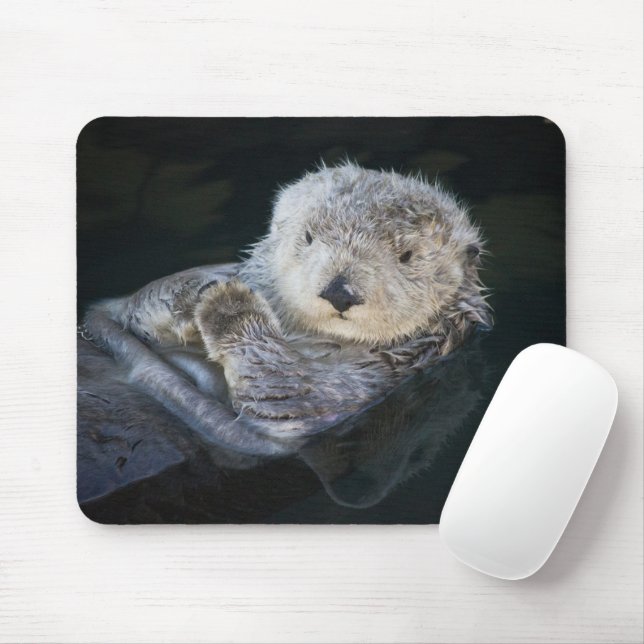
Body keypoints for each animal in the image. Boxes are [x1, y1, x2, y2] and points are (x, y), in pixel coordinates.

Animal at [82, 162, 492, 454]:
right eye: (308, 237)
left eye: (407, 256)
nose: (340, 292)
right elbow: (136, 309)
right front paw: (194, 292)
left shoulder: (363, 383)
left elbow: (285, 392)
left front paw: (228, 305)